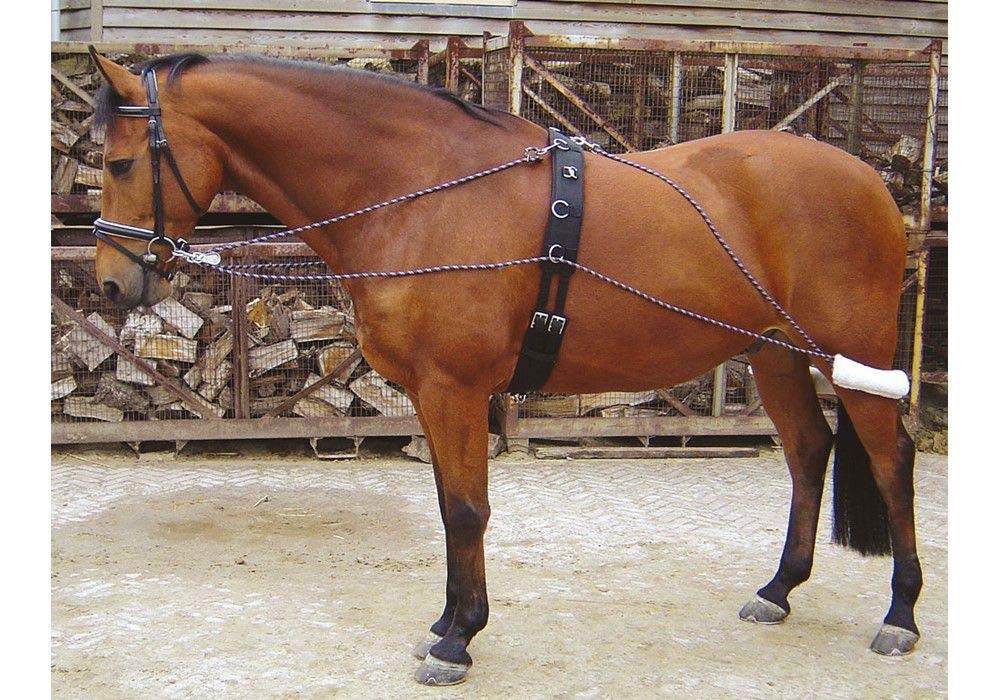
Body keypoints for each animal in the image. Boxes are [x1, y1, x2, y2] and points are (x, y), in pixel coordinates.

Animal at [87, 49, 922, 685]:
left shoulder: (455, 389)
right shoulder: (431, 395)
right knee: (809, 452)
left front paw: (459, 642)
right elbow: (447, 504)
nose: (111, 284)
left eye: (121, 162)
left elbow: (466, 510)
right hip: (776, 354)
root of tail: (872, 184)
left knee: (891, 461)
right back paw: (778, 590)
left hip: (851, 356)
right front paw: (445, 622)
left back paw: (900, 615)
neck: (416, 194)